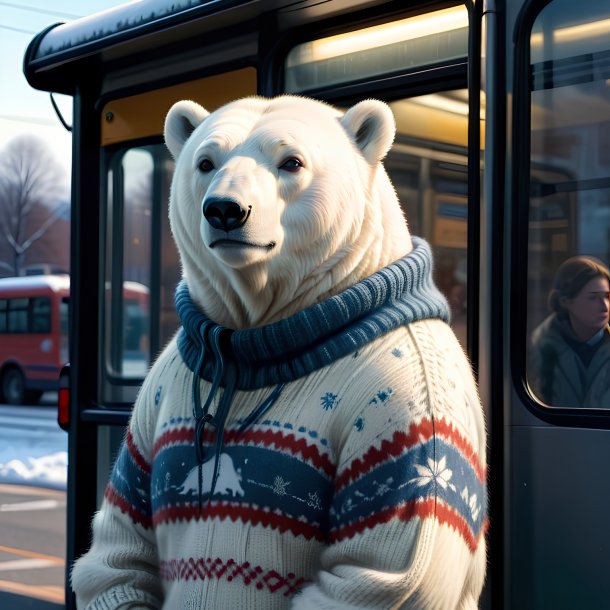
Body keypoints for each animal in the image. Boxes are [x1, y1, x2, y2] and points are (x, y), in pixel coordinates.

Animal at [71, 96, 484, 608]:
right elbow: (123, 531)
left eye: (292, 161)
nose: (226, 210)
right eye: (206, 162)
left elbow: (380, 563)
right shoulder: (161, 388)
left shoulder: (408, 401)